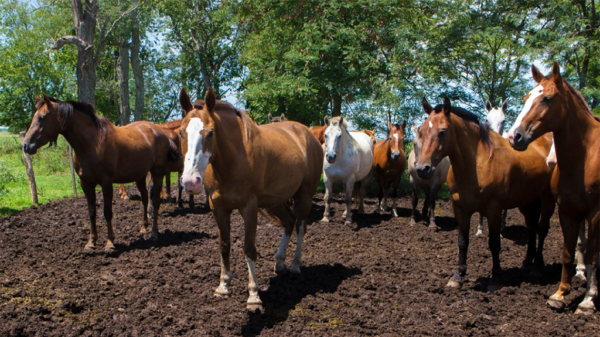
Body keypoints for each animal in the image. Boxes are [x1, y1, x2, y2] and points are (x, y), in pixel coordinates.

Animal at [23, 94, 178, 249]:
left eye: (42, 117)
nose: (25, 145)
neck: (92, 143)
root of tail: (161, 132)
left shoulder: (106, 183)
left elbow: (107, 212)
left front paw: (109, 242)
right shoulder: (85, 183)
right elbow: (92, 212)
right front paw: (91, 242)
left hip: (157, 174)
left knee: (155, 201)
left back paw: (154, 233)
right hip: (140, 175)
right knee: (145, 198)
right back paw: (144, 227)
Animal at [177, 87, 324, 310]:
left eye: (210, 133)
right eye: (180, 132)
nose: (190, 181)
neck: (232, 160)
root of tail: (307, 134)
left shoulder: (249, 208)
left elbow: (248, 248)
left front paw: (254, 296)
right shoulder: (218, 208)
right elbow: (224, 245)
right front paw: (223, 286)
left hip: (304, 196)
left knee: (300, 226)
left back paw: (295, 265)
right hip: (276, 201)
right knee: (289, 222)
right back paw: (279, 262)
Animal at [414, 96, 556, 290]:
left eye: (443, 131)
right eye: (421, 131)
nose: (423, 169)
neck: (477, 163)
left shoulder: (494, 210)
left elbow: (494, 243)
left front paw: (495, 278)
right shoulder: (460, 208)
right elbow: (462, 242)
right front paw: (457, 276)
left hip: (548, 199)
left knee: (542, 229)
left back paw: (537, 267)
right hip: (527, 201)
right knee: (532, 227)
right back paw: (527, 262)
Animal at [506, 61, 600, 314]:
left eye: (547, 98)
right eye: (526, 97)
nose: (515, 136)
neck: (586, 157)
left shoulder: (595, 214)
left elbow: (592, 255)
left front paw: (588, 299)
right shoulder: (568, 211)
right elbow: (568, 253)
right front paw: (560, 293)